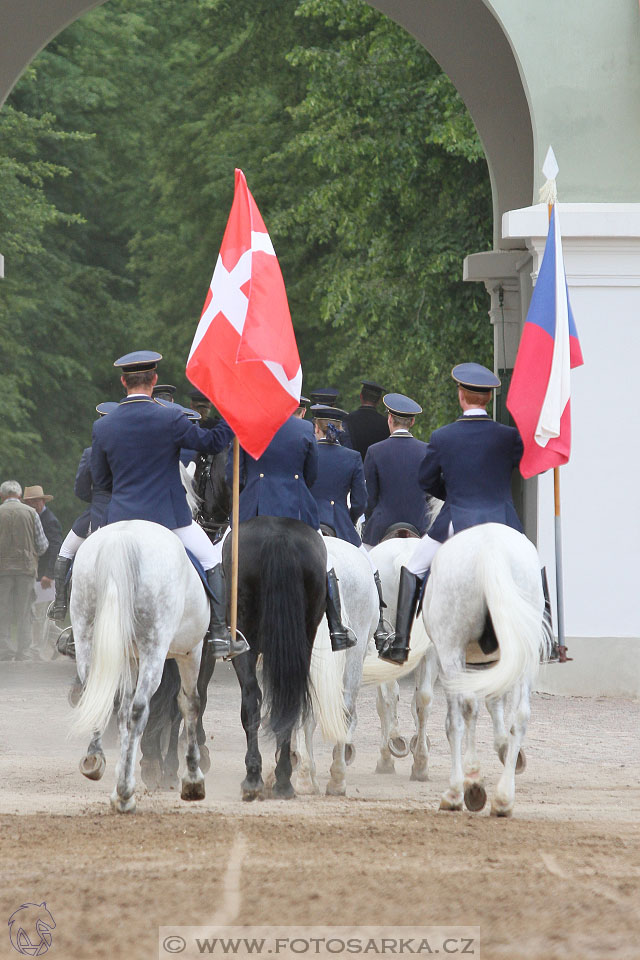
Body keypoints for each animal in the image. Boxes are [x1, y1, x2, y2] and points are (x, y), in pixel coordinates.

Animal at [72, 520, 208, 812]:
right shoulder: (191, 652)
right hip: (154, 650)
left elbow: (122, 712)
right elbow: (190, 705)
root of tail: (120, 539)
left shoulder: (130, 658)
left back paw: (96, 762)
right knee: (139, 710)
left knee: (97, 698)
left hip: (86, 636)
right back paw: (125, 793)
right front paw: (193, 780)